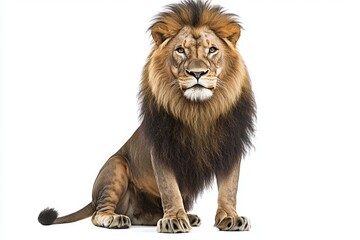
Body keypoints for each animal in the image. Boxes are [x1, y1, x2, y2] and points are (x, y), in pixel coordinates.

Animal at [37, 0, 256, 232]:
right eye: (180, 50)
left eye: (212, 50)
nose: (197, 73)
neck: (198, 111)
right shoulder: (162, 148)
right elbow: (169, 188)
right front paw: (174, 219)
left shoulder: (231, 145)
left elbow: (229, 188)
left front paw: (230, 217)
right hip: (116, 165)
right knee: (98, 213)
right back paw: (114, 218)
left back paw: (186, 216)